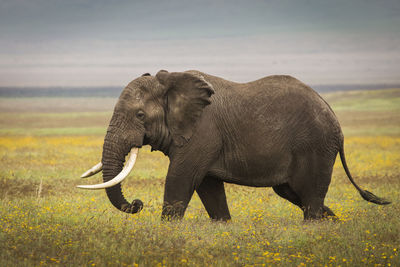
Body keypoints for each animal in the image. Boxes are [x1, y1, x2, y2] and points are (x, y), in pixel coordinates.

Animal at [78, 69, 390, 222]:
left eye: (140, 116)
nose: (137, 204)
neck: (171, 82)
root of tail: (336, 120)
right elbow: (207, 185)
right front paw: (223, 226)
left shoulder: (203, 131)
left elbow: (181, 177)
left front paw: (166, 230)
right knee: (295, 193)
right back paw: (334, 224)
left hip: (315, 146)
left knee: (310, 196)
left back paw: (315, 227)